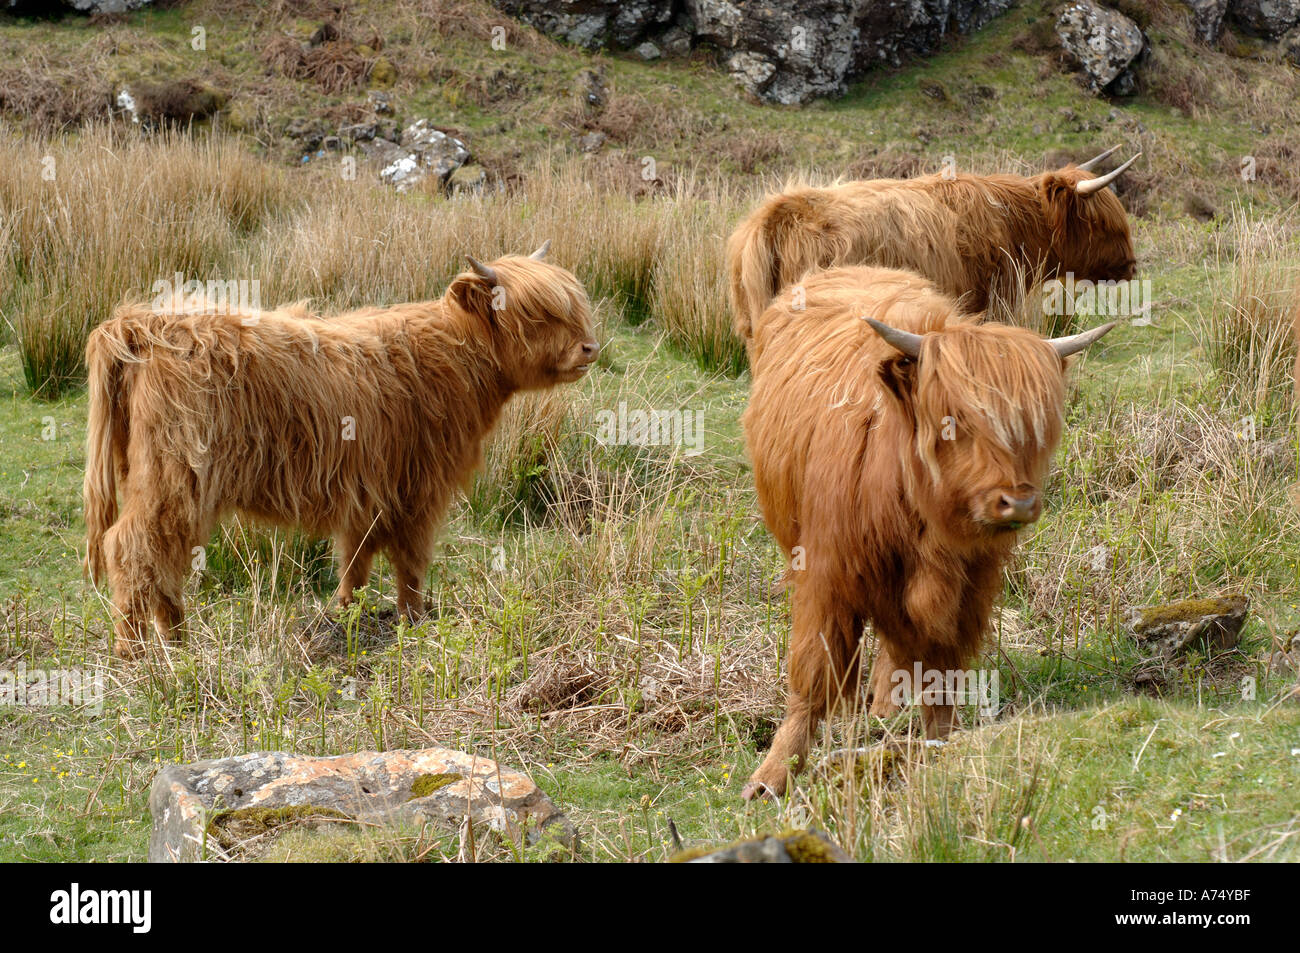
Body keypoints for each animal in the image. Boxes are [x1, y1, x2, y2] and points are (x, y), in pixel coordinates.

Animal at [83, 241, 600, 657]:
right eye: (535, 314)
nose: (590, 348)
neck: (455, 352)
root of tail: (146, 323)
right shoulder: (419, 488)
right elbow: (411, 562)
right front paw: (413, 622)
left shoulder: (368, 490)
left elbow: (356, 560)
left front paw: (345, 616)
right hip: (175, 475)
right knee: (132, 546)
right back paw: (135, 654)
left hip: (153, 477)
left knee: (163, 558)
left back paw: (178, 642)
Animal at [738, 262, 1112, 795]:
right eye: (952, 421)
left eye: (1032, 428)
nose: (1018, 501)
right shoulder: (826, 576)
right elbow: (813, 672)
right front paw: (772, 775)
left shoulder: (967, 590)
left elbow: (940, 675)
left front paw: (939, 747)